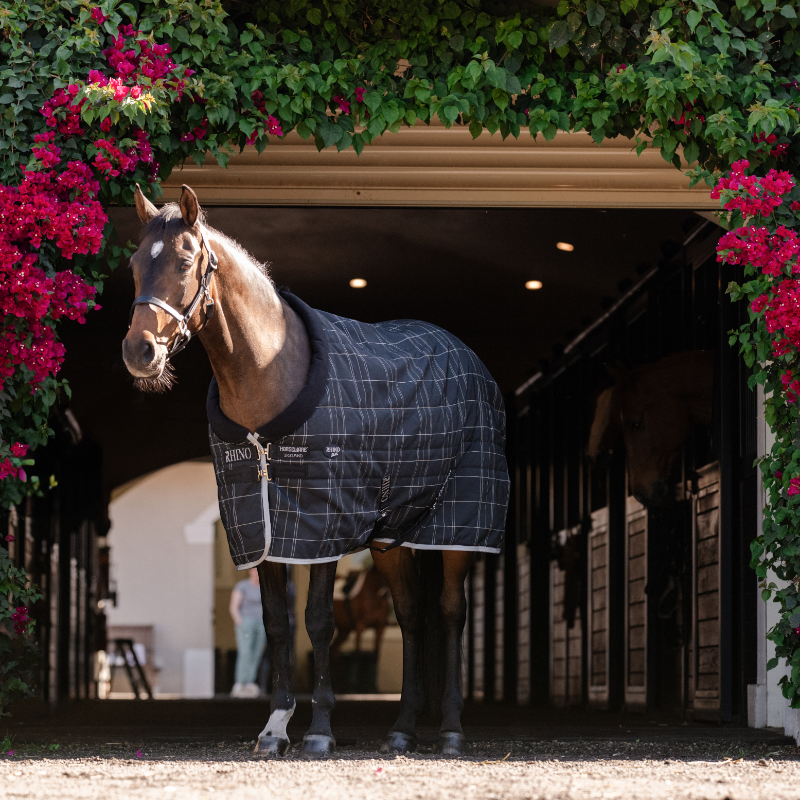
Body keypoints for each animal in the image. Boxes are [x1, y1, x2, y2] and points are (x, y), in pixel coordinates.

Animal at [121, 184, 509, 758]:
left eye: (185, 261)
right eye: (132, 265)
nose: (139, 351)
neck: (272, 375)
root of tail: (467, 358)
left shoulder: (322, 524)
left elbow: (318, 621)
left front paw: (321, 729)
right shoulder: (261, 529)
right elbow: (278, 625)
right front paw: (276, 727)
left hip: (458, 528)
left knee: (449, 612)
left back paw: (452, 730)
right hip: (391, 538)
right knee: (411, 615)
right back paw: (401, 729)